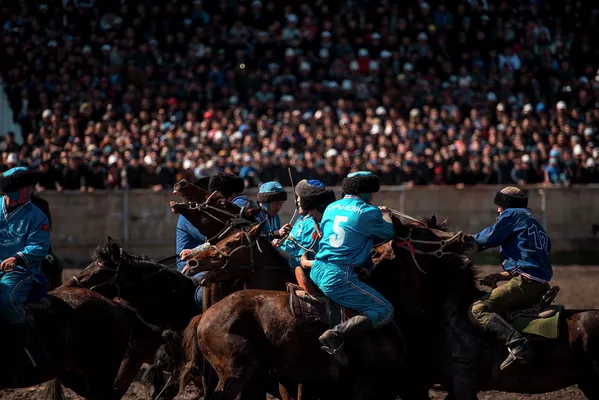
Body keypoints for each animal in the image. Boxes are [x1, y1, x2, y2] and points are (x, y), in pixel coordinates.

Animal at [174, 215, 479, 400]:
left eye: (235, 241)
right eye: (426, 234)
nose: (464, 239)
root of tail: (204, 317)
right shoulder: (365, 385)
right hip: (235, 374)